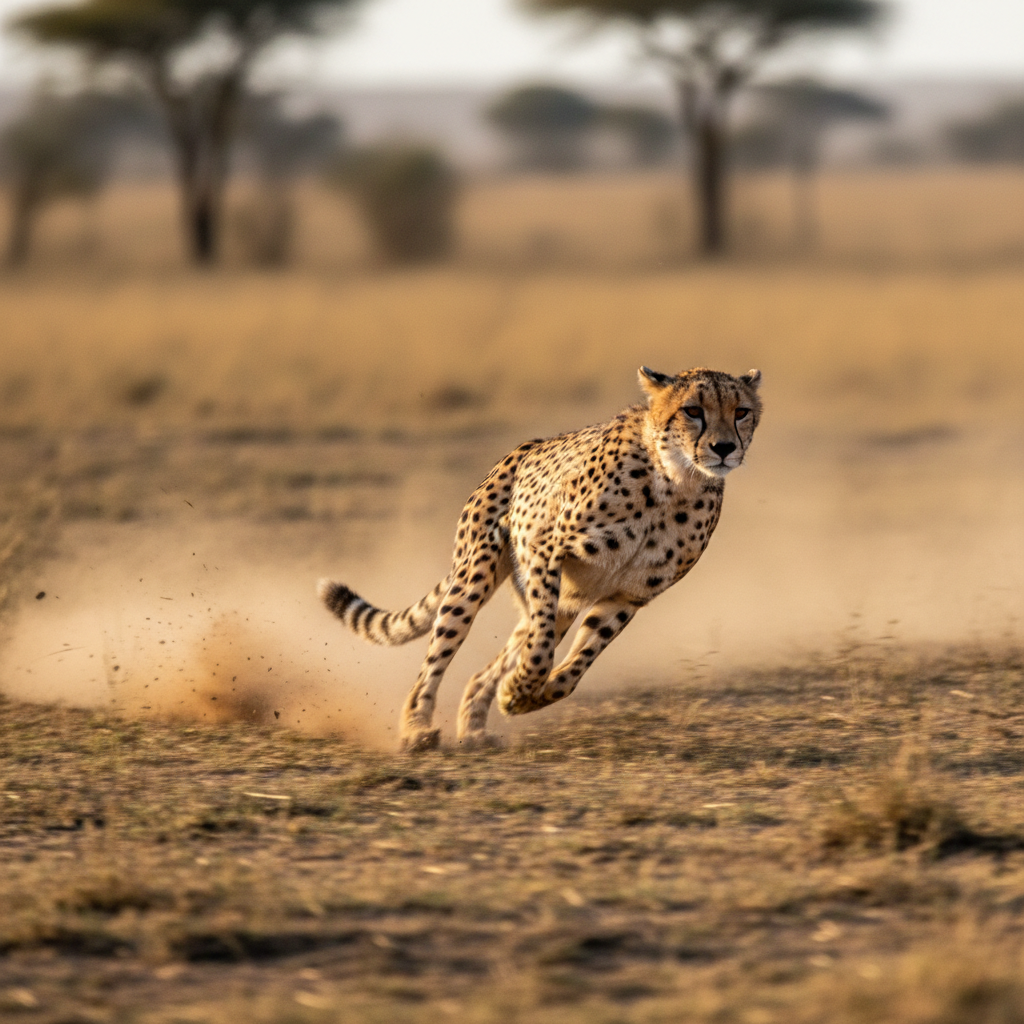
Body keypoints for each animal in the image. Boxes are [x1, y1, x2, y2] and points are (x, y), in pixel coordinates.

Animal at [318, 366, 762, 752]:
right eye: (692, 410)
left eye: (741, 412)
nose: (724, 448)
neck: (675, 483)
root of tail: (519, 449)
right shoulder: (543, 547)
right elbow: (543, 643)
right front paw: (523, 686)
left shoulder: (628, 594)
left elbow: (577, 665)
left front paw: (523, 695)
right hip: (475, 577)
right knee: (440, 656)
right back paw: (417, 729)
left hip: (563, 595)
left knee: (491, 663)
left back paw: (475, 726)